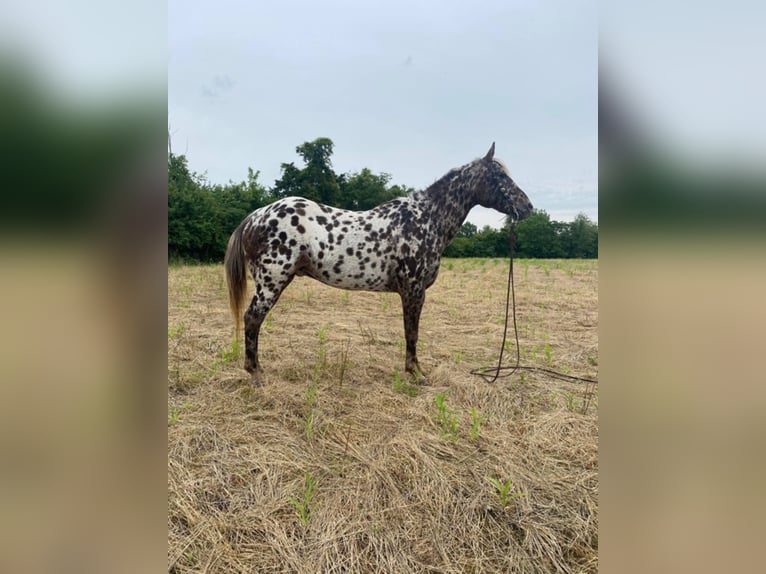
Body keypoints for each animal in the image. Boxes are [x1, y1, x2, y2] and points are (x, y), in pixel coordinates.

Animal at [222, 144, 536, 388]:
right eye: (499, 176)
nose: (528, 207)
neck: (426, 220)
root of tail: (255, 216)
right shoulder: (414, 291)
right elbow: (412, 332)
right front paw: (416, 374)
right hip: (271, 282)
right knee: (252, 319)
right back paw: (256, 374)